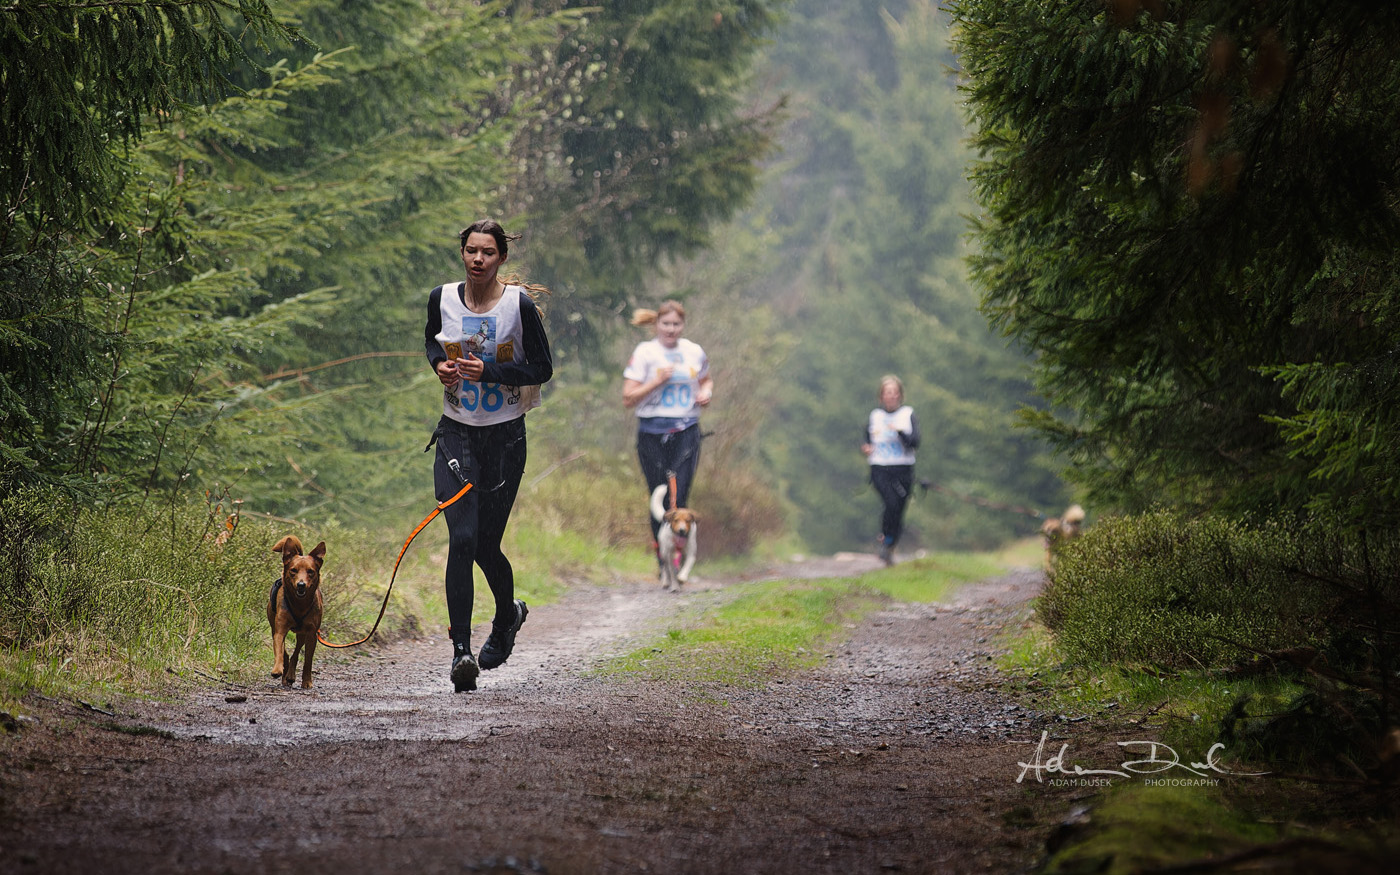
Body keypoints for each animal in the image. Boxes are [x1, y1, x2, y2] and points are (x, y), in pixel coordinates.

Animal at [267, 532, 324, 688]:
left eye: (310, 572)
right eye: (293, 570)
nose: (301, 585)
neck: (300, 605)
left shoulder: (311, 634)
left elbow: (308, 661)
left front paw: (307, 681)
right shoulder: (280, 629)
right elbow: (280, 651)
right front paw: (277, 670)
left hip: (302, 634)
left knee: (296, 652)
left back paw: (291, 675)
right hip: (274, 627)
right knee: (286, 653)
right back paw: (286, 675)